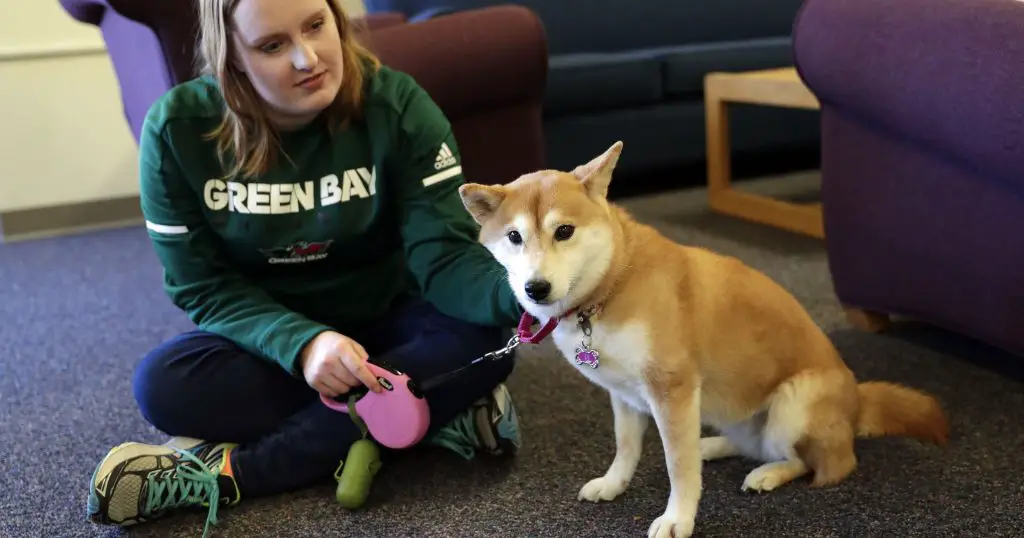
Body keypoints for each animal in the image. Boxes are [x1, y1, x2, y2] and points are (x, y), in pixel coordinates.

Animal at [460, 142, 946, 536]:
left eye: (564, 231)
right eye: (514, 237)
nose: (535, 289)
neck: (610, 288)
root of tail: (857, 399)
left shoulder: (670, 388)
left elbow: (679, 466)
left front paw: (678, 518)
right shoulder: (625, 394)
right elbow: (626, 446)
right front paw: (615, 483)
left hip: (794, 402)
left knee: (821, 463)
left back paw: (768, 473)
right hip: (731, 410)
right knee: (750, 440)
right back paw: (712, 445)